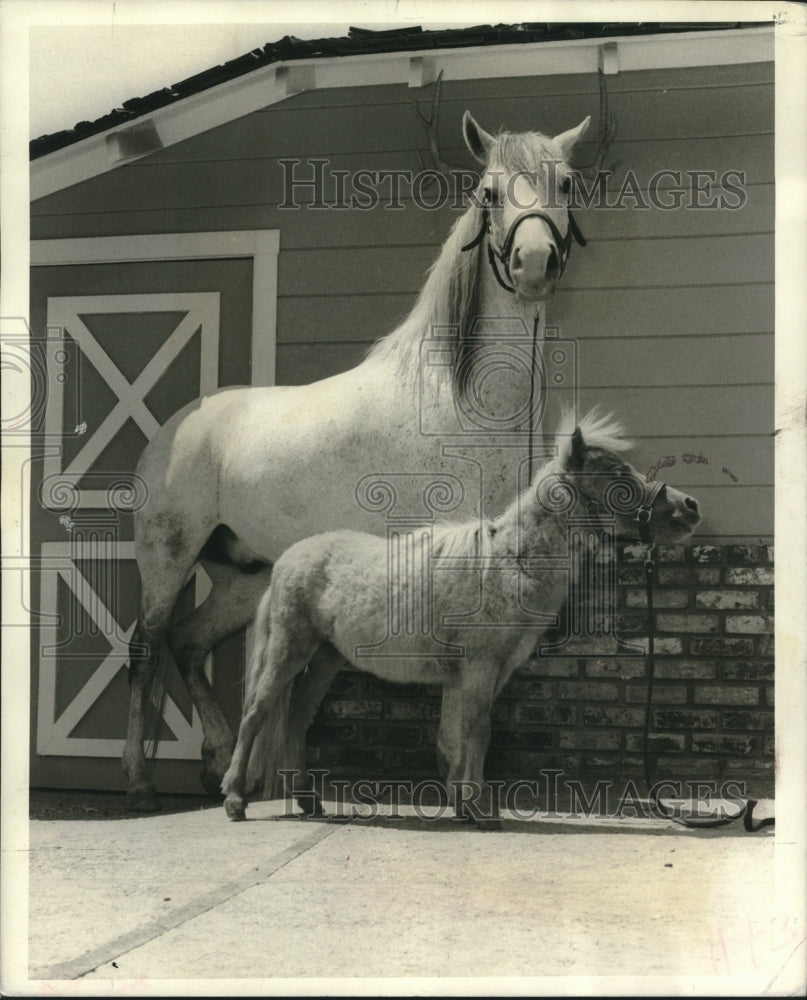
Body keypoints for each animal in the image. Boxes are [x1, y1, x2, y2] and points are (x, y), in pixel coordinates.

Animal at [124, 109, 594, 812]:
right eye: (488, 192)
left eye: (564, 183)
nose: (533, 261)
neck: (458, 399)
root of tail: (178, 427)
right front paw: (456, 790)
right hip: (167, 558)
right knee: (147, 648)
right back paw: (141, 782)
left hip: (246, 577)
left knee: (188, 644)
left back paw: (218, 765)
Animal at [221, 410, 702, 822]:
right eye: (618, 475)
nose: (689, 507)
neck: (509, 564)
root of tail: (288, 560)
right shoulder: (480, 668)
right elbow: (477, 731)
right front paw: (479, 807)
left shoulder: (482, 673)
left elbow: (460, 734)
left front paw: (462, 801)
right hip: (290, 649)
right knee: (257, 712)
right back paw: (235, 799)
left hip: (325, 657)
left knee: (297, 718)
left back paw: (307, 800)